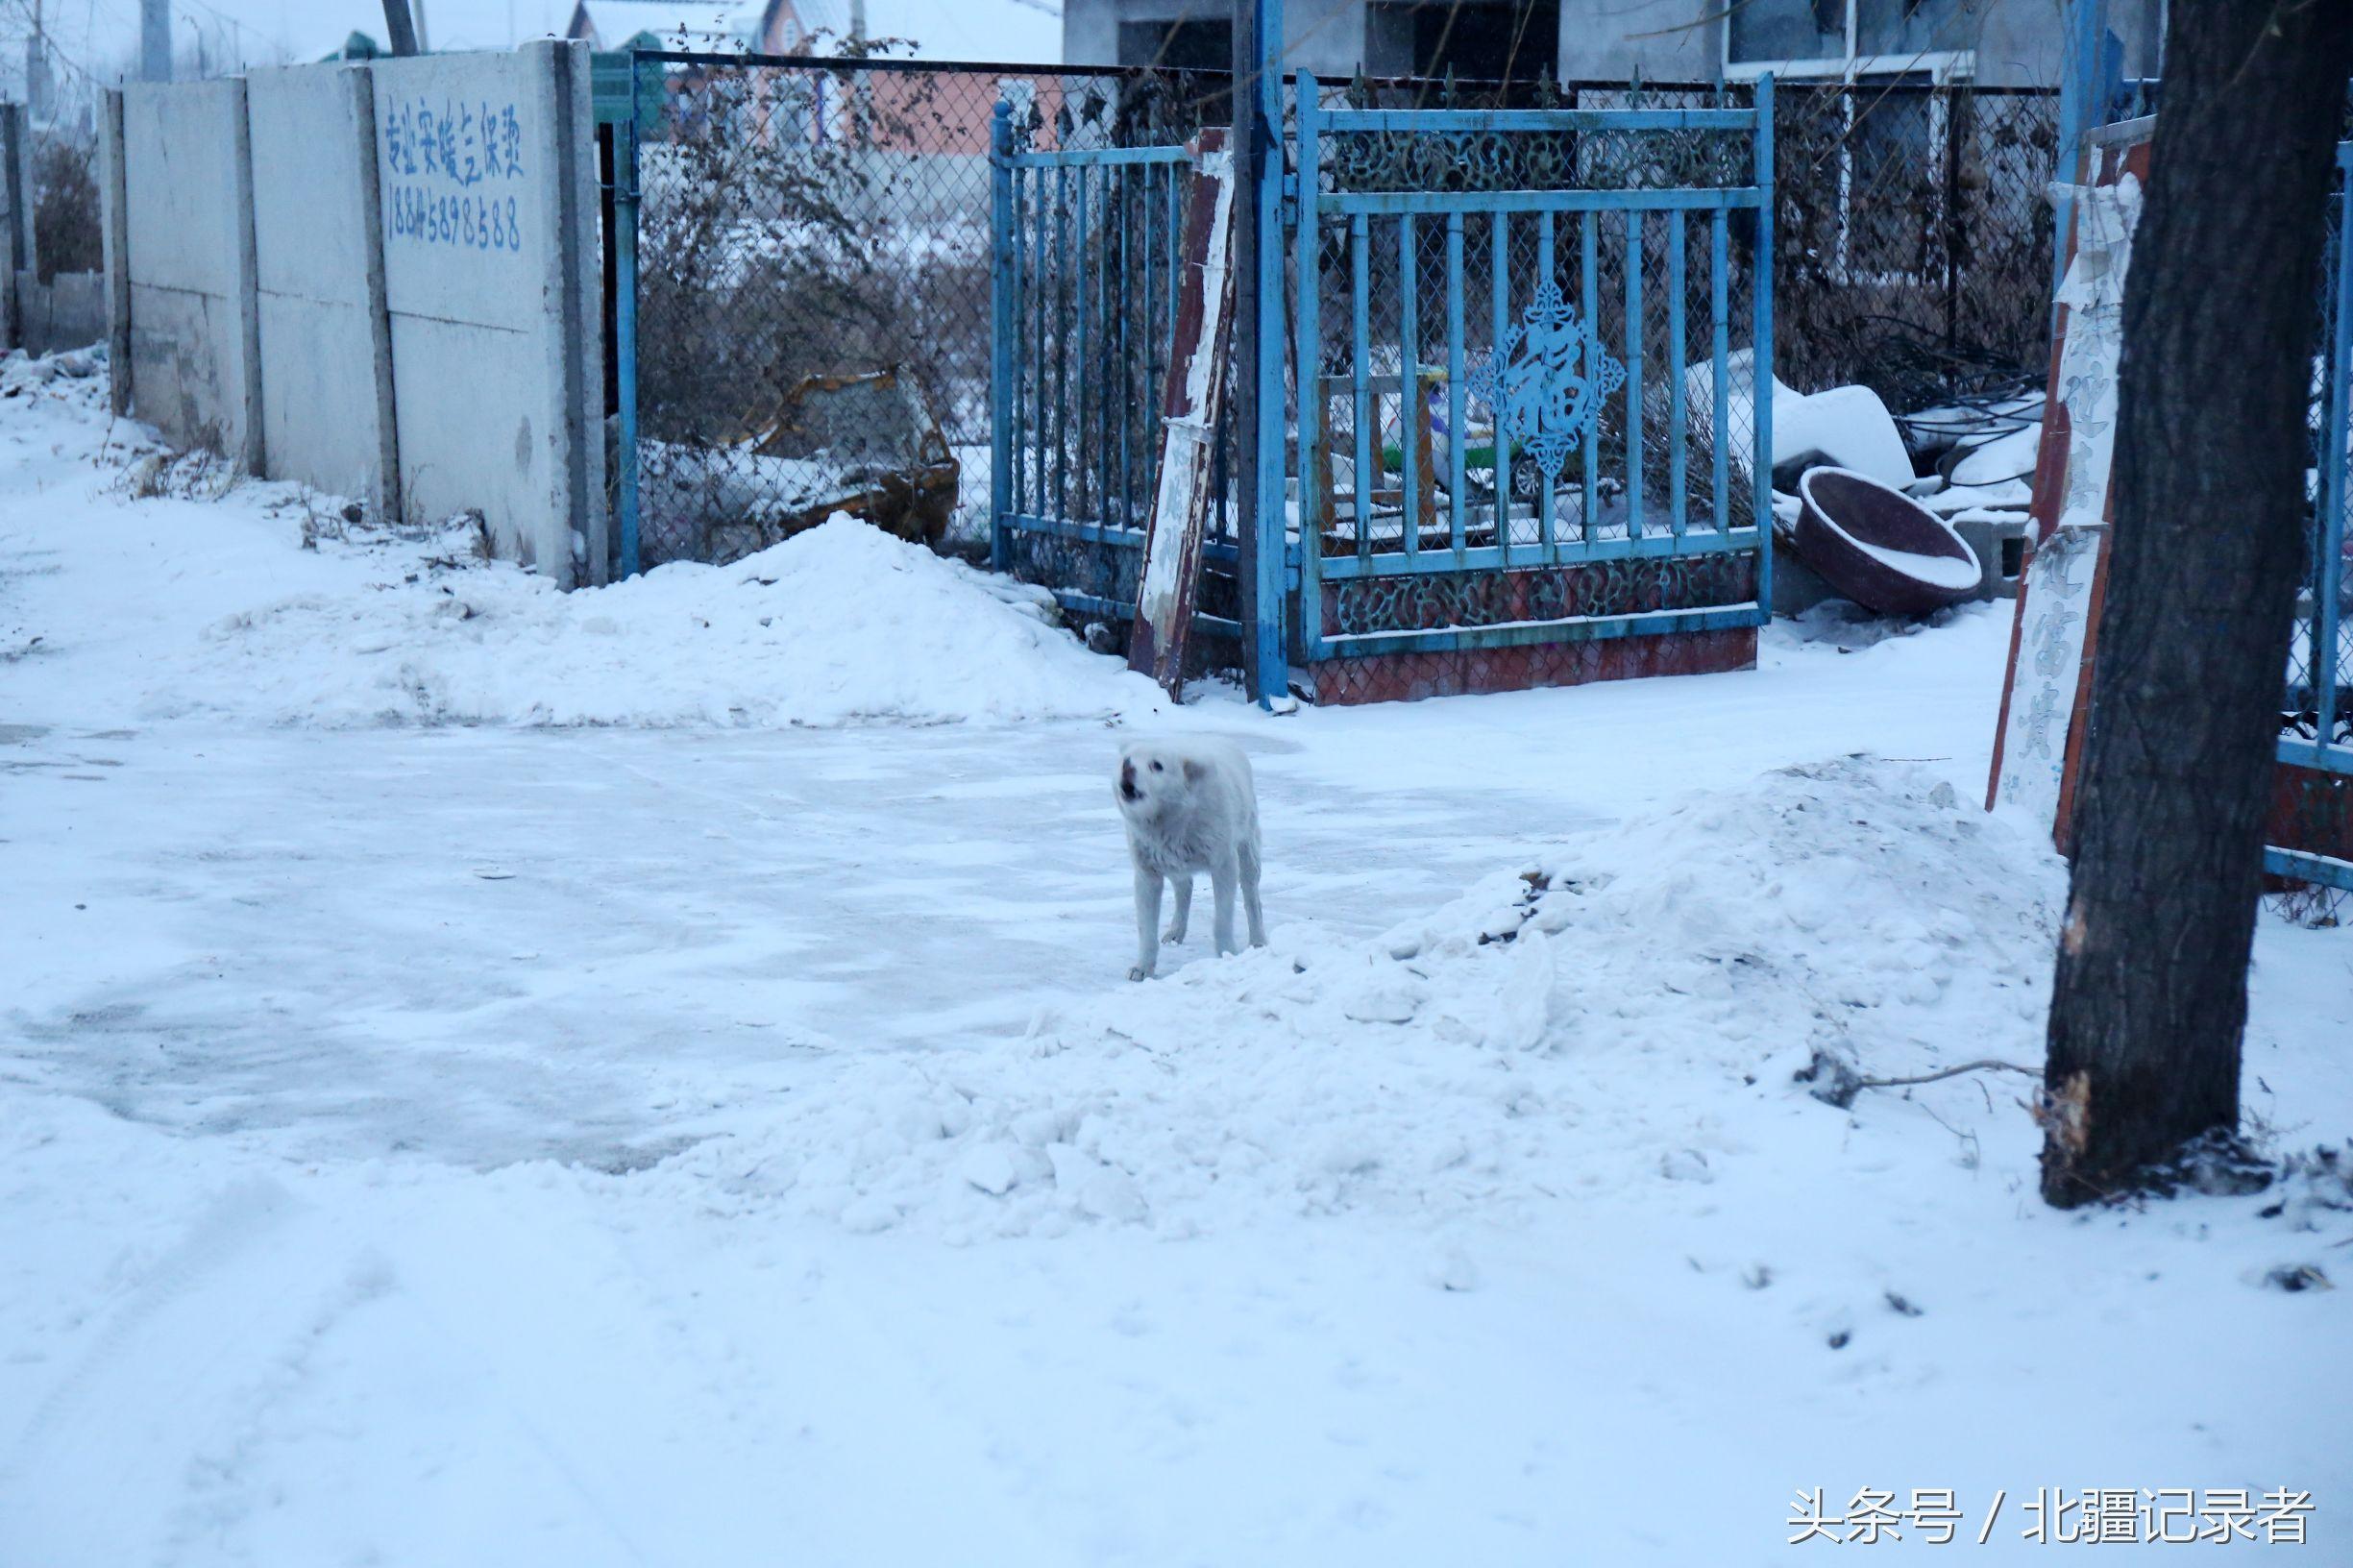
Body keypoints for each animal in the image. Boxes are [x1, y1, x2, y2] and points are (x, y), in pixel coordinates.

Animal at [1106, 734, 1261, 979]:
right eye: (1126, 761)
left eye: (1157, 765)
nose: (1128, 770)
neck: (1171, 820)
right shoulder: (1147, 875)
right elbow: (1146, 931)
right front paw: (1143, 968)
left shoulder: (1224, 865)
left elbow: (1222, 920)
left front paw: (1227, 955)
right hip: (1173, 865)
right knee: (1185, 887)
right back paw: (1176, 931)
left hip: (1246, 852)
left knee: (1252, 898)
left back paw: (1258, 941)